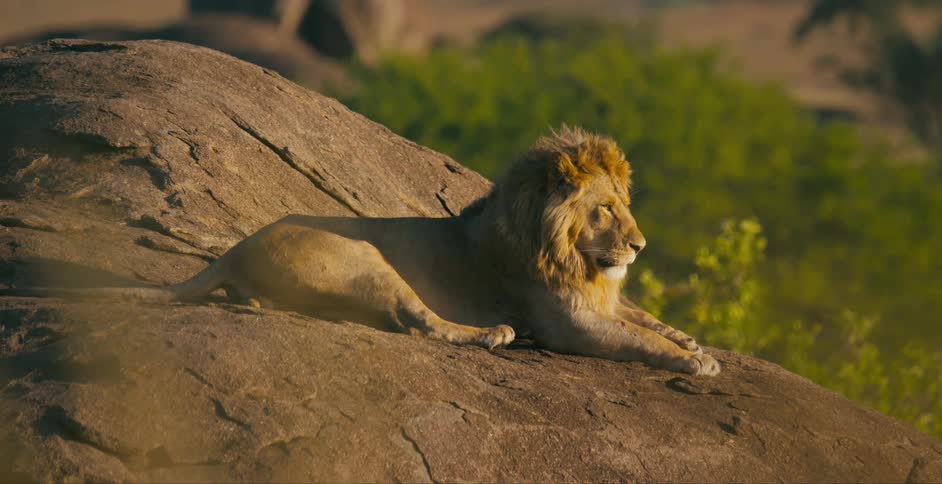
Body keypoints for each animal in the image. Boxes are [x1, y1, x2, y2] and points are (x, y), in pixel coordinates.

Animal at [13, 126, 720, 376]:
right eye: (606, 209)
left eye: (625, 204)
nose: (640, 244)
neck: (575, 258)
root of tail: (235, 249)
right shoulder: (566, 321)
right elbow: (634, 338)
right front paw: (694, 361)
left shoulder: (597, 299)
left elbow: (645, 318)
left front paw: (691, 339)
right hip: (369, 262)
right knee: (422, 324)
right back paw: (490, 333)